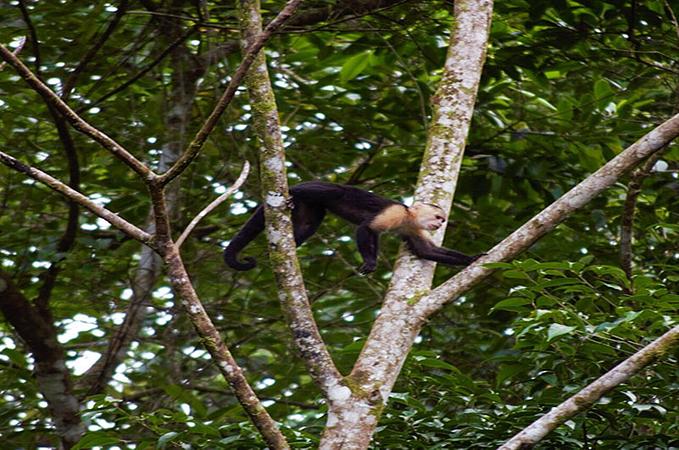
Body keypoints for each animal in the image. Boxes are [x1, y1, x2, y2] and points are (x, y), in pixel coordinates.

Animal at [224, 180, 484, 272]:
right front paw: (370, 262)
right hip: (311, 189)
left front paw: (473, 258)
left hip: (310, 208)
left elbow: (425, 251)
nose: (440, 224)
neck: (409, 216)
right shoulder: (395, 213)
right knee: (334, 191)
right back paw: (292, 193)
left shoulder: (412, 227)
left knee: (308, 224)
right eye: (439, 217)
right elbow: (366, 229)